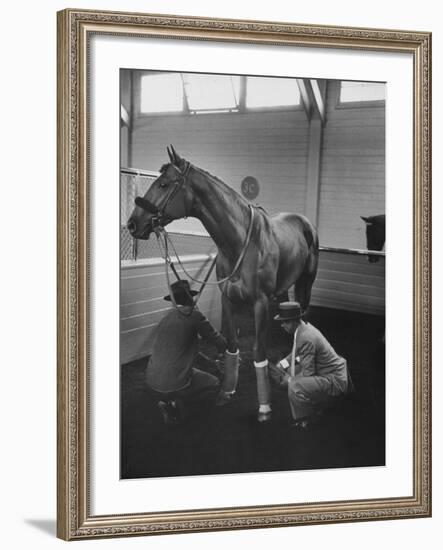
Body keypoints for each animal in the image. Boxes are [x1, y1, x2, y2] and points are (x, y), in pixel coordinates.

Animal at [125, 147, 320, 422]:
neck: (240, 242)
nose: (132, 223)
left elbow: (258, 351)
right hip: (283, 289)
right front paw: (227, 392)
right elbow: (231, 345)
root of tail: (305, 222)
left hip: (306, 282)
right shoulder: (227, 299)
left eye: (163, 183)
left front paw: (264, 407)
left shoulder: (260, 303)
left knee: (303, 315)